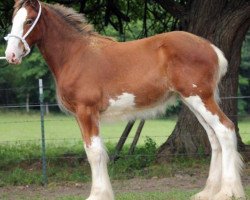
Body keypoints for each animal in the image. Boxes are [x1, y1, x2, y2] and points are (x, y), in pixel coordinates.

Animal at [4, 0, 245, 200]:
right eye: (13, 20)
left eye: (28, 21)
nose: (10, 56)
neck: (76, 55)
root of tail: (211, 48)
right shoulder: (81, 116)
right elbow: (94, 151)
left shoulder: (86, 111)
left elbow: (94, 153)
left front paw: (97, 195)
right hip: (192, 101)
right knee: (214, 137)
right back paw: (207, 192)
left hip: (199, 98)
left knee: (225, 129)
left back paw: (227, 192)